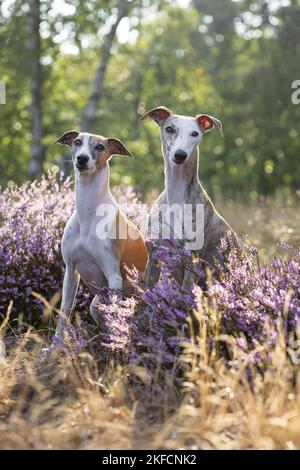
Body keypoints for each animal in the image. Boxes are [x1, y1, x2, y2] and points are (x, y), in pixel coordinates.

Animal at [45, 130, 148, 350]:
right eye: (77, 142)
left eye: (100, 147)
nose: (81, 159)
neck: (89, 213)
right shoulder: (71, 271)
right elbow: (64, 313)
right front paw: (54, 348)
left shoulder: (113, 276)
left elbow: (116, 319)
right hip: (96, 306)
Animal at [139, 106, 236, 286]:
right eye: (169, 128)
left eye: (195, 133)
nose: (180, 155)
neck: (176, 197)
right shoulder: (154, 256)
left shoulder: (193, 260)